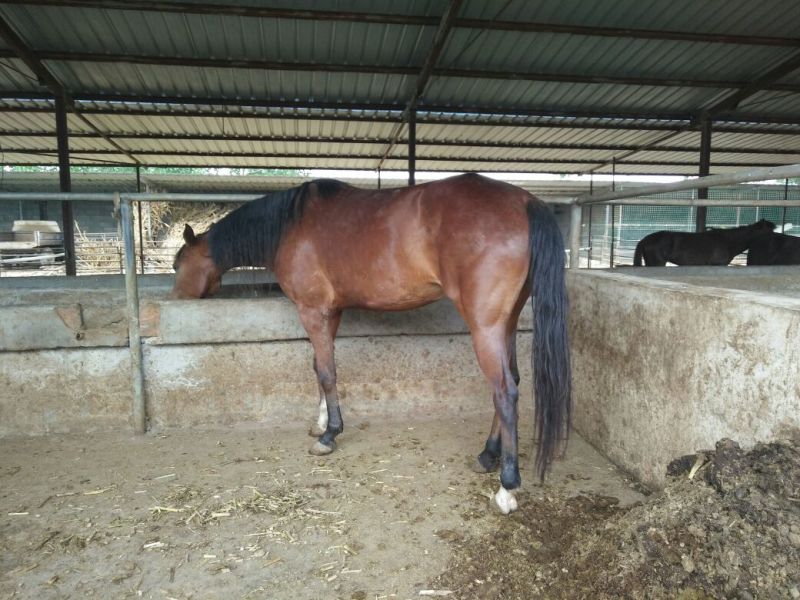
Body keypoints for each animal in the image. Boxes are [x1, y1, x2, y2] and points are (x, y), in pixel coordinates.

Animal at [171, 173, 572, 514]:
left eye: (178, 264)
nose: (176, 299)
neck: (290, 226)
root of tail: (525, 201)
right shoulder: (331, 312)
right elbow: (319, 367)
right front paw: (320, 421)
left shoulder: (313, 310)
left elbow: (328, 373)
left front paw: (329, 435)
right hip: (506, 321)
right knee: (511, 381)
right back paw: (487, 455)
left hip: (485, 325)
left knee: (504, 392)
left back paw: (506, 486)